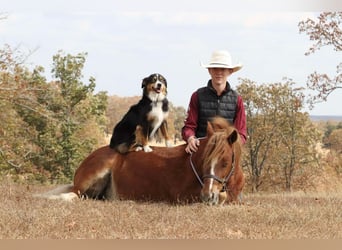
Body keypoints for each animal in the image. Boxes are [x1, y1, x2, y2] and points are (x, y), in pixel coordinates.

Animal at [38, 117, 244, 205]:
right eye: (205, 161)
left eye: (225, 163)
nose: (208, 196)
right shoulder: (182, 196)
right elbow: (223, 197)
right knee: (74, 194)